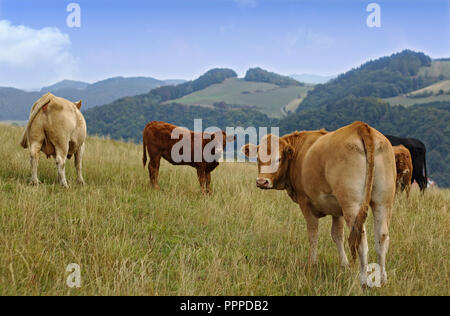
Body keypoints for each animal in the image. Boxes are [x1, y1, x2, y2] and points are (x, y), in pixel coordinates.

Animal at [244, 121, 396, 286]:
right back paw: (383, 278)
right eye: (258, 159)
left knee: (360, 238)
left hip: (352, 204)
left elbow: (313, 233)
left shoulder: (305, 202)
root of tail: (360, 126)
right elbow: (337, 235)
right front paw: (344, 264)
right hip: (383, 202)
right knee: (382, 236)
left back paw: (363, 279)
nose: (262, 181)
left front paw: (313, 263)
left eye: (278, 159)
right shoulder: (337, 210)